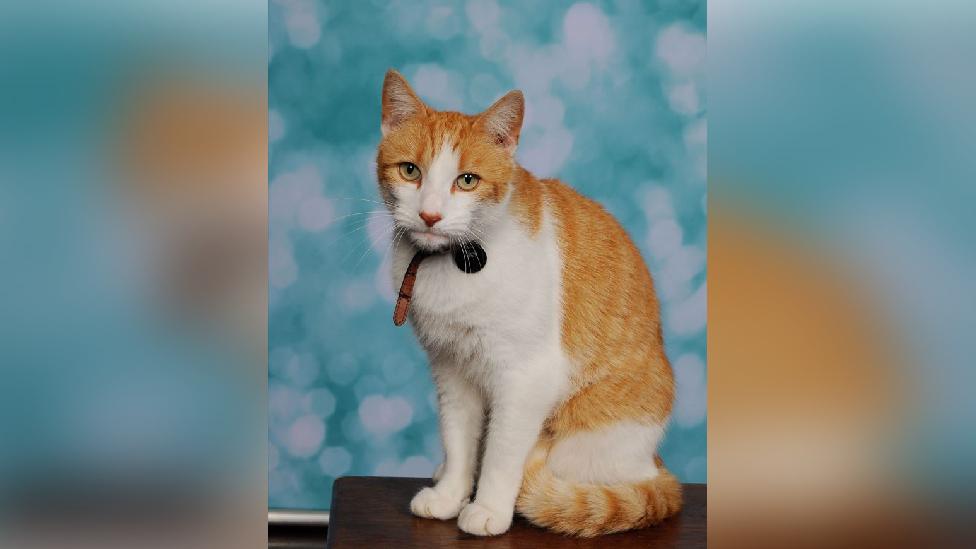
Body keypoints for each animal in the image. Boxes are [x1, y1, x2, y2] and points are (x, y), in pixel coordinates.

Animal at [378, 68, 684, 536]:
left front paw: (487, 507)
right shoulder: (452, 371)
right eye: (410, 171)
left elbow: (503, 453)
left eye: (467, 180)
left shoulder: (526, 377)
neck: (452, 263)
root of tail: (655, 463)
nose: (430, 216)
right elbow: (458, 439)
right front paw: (450, 493)